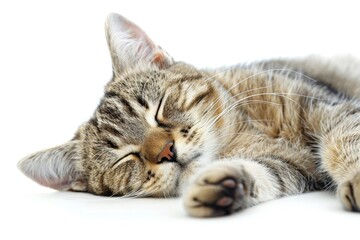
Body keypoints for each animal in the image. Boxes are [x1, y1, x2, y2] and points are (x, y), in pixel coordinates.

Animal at [18, 13, 360, 217]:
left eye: (157, 109)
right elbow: (263, 173)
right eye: (125, 157)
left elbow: (348, 138)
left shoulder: (327, 106)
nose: (166, 150)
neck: (242, 131)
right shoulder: (289, 167)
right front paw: (225, 184)